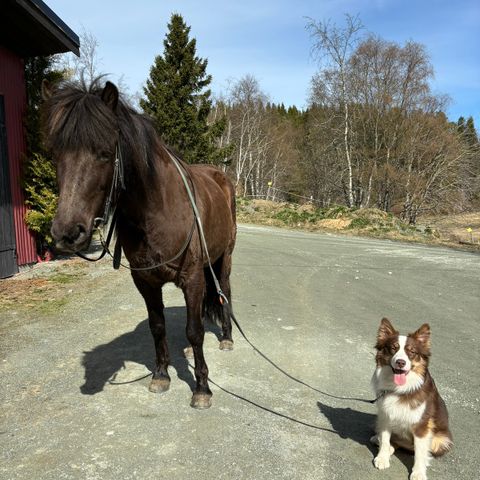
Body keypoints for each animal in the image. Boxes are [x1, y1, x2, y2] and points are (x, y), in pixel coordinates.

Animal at [42, 79, 237, 408]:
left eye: (105, 152)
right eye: (55, 154)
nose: (67, 233)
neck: (157, 210)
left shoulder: (192, 277)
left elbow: (194, 330)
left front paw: (202, 388)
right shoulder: (145, 280)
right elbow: (157, 327)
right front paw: (161, 375)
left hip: (223, 259)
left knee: (224, 292)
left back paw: (227, 337)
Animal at [370, 316, 452, 478]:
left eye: (411, 352)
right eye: (393, 348)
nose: (400, 362)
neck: (399, 389)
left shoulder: (422, 425)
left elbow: (420, 453)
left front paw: (418, 473)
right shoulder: (385, 415)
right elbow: (385, 438)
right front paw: (382, 458)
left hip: (441, 440)